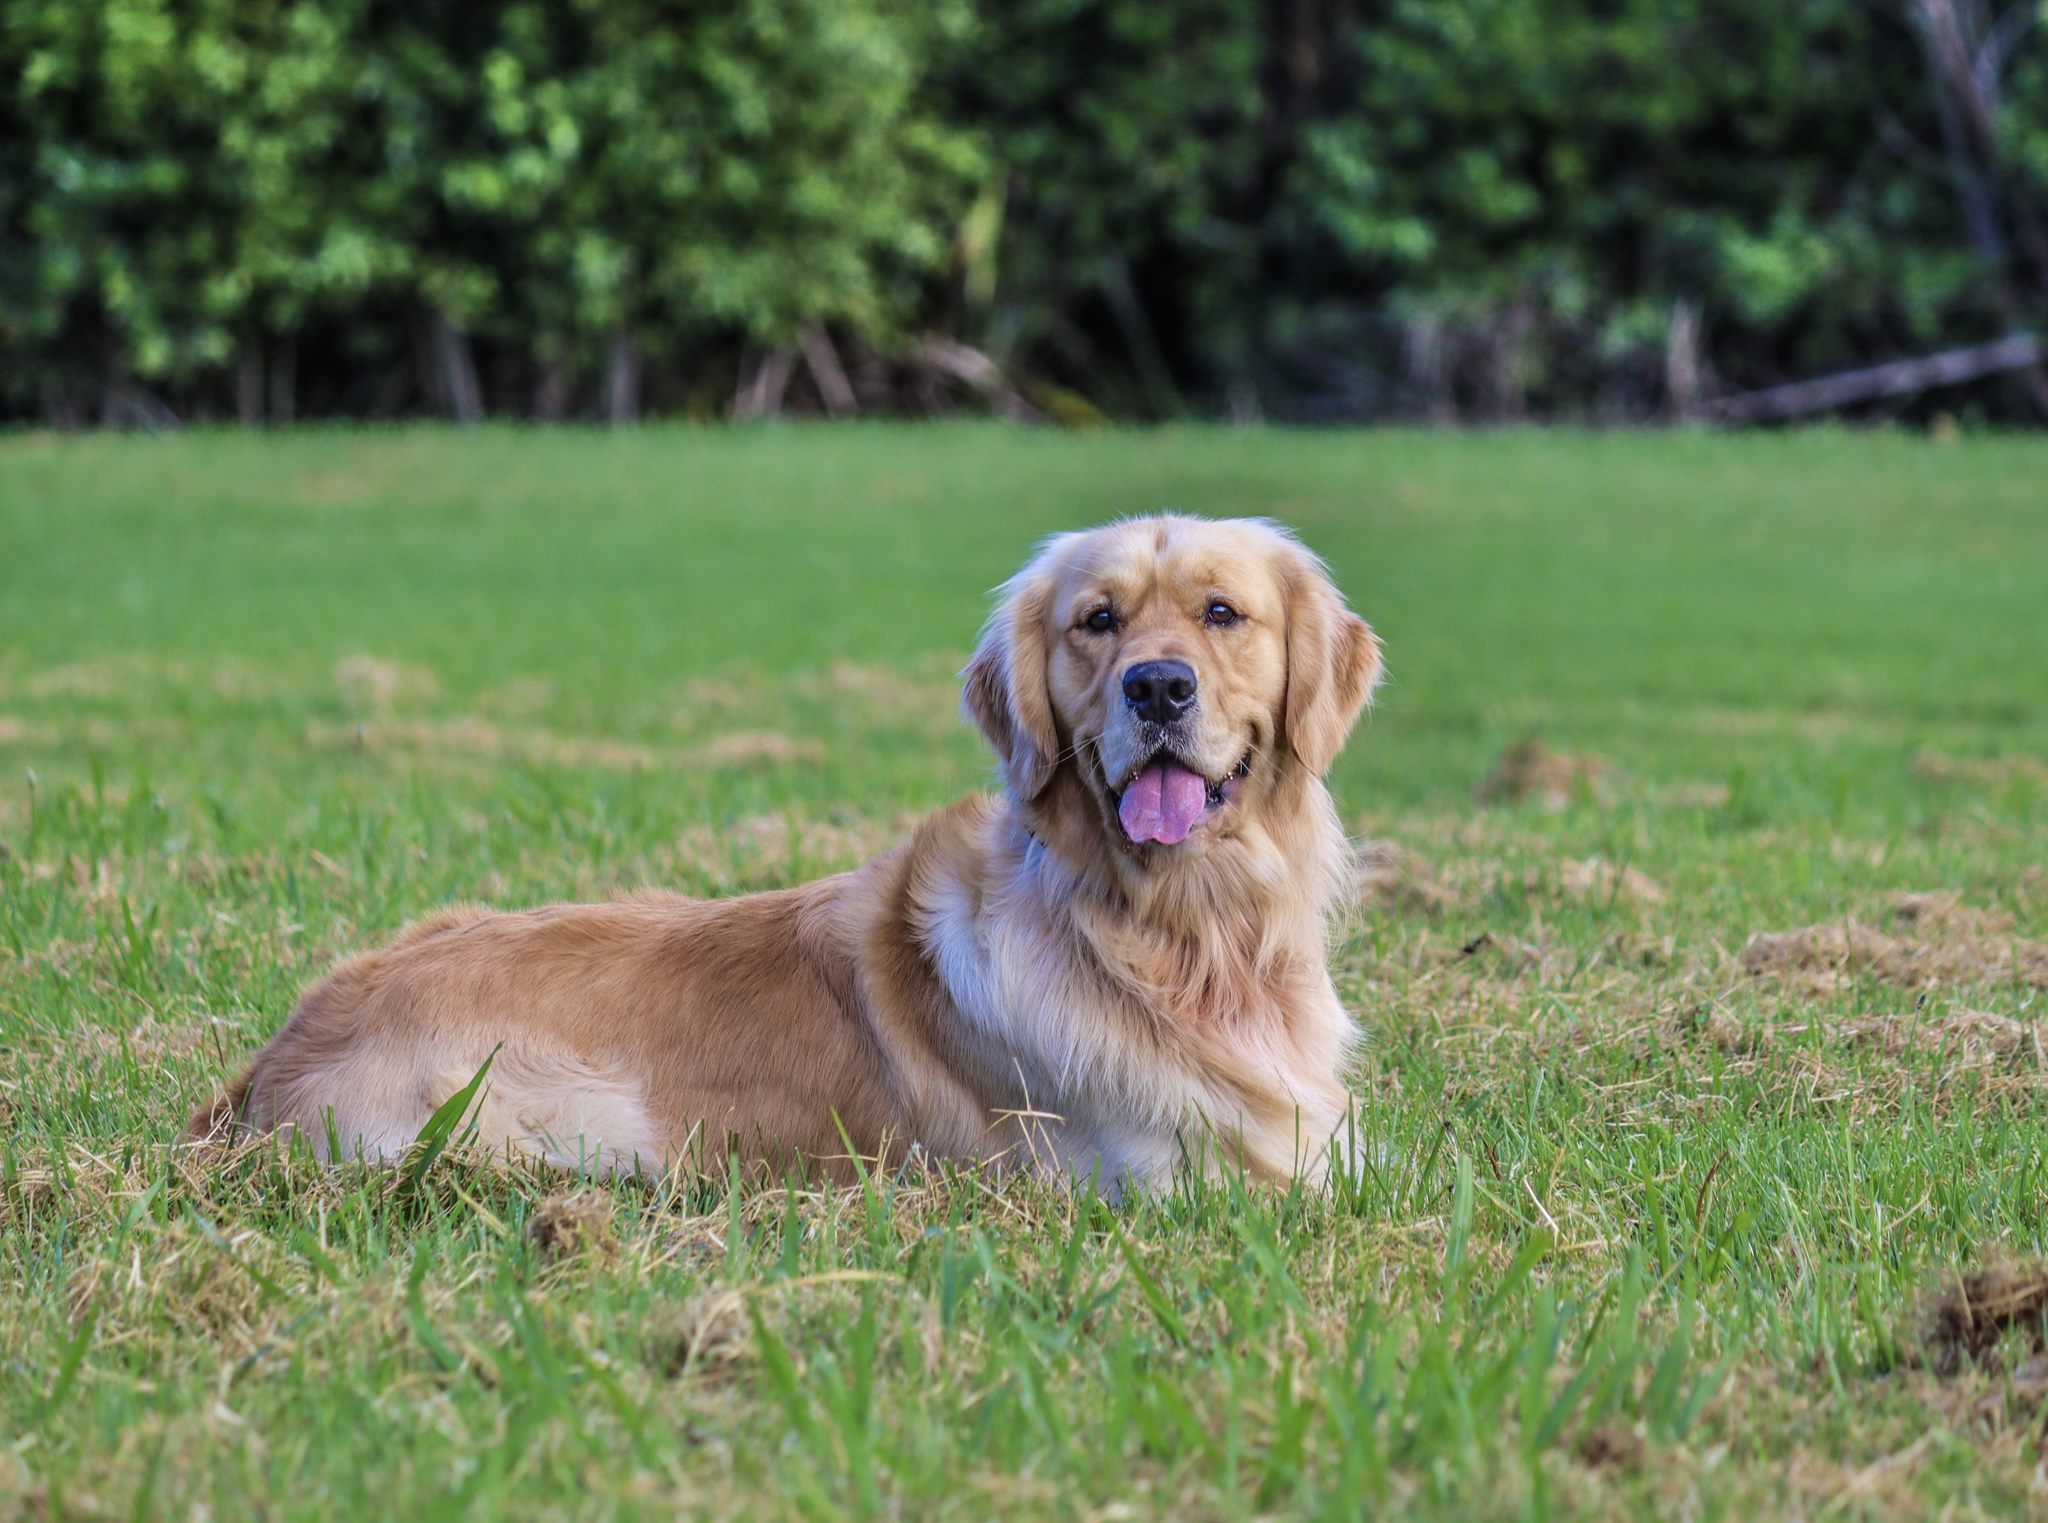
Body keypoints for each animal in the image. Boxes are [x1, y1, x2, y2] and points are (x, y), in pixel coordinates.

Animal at [192, 511, 1384, 1187]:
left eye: (1221, 613)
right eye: (1097, 620)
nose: (1157, 687)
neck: (1185, 931)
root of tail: (269, 1067)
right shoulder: (1166, 1178)